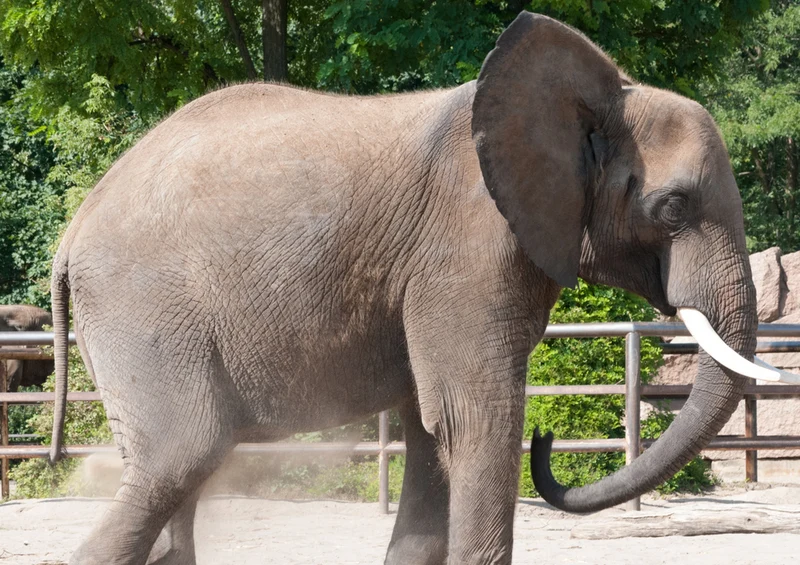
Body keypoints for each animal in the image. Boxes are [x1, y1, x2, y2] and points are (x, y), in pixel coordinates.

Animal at [48, 11, 778, 565]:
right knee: (182, 456)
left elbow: (432, 434)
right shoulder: (465, 246)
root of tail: (74, 228)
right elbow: (473, 416)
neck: (602, 92)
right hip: (144, 307)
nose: (548, 444)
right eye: (673, 208)